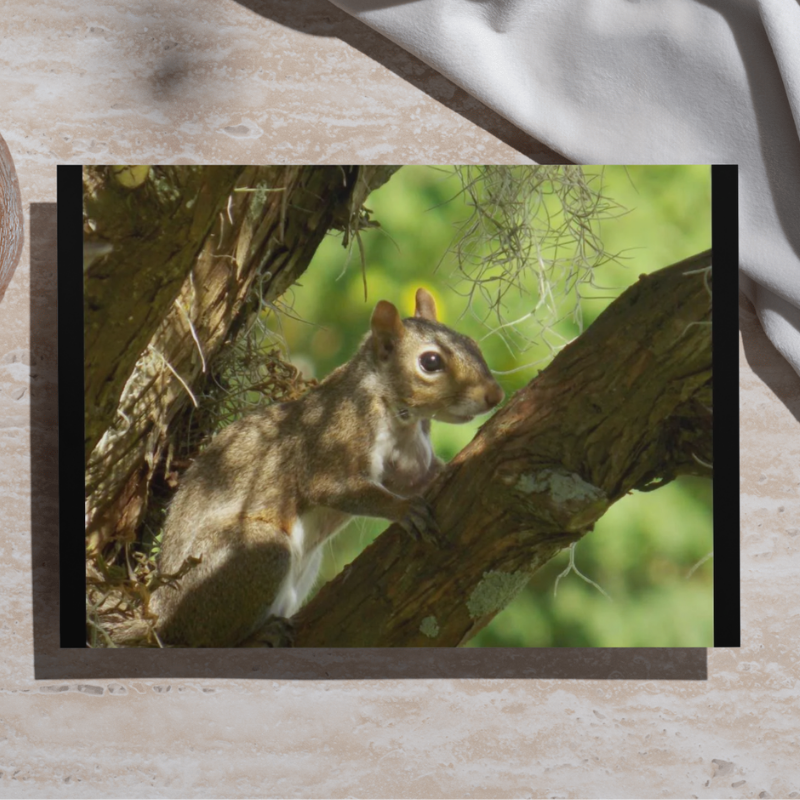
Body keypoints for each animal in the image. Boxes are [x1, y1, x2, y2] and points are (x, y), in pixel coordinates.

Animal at [149, 288, 504, 647]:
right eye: (431, 362)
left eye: (472, 343)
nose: (495, 395)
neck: (399, 416)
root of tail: (161, 620)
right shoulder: (332, 440)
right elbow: (333, 487)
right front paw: (403, 510)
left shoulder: (408, 463)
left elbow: (418, 478)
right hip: (252, 554)